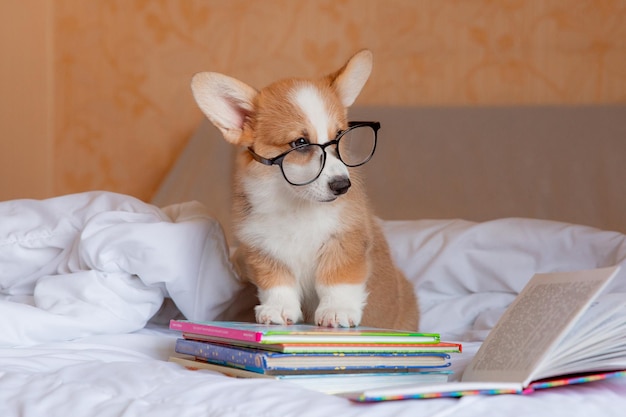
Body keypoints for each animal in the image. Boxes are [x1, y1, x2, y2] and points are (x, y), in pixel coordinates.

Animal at [188, 49, 416, 328]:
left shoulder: (344, 241)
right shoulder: (265, 250)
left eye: (338, 136)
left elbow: (336, 280)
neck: (296, 204)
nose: (343, 186)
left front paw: (337, 310)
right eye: (300, 143)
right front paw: (277, 309)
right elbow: (278, 284)